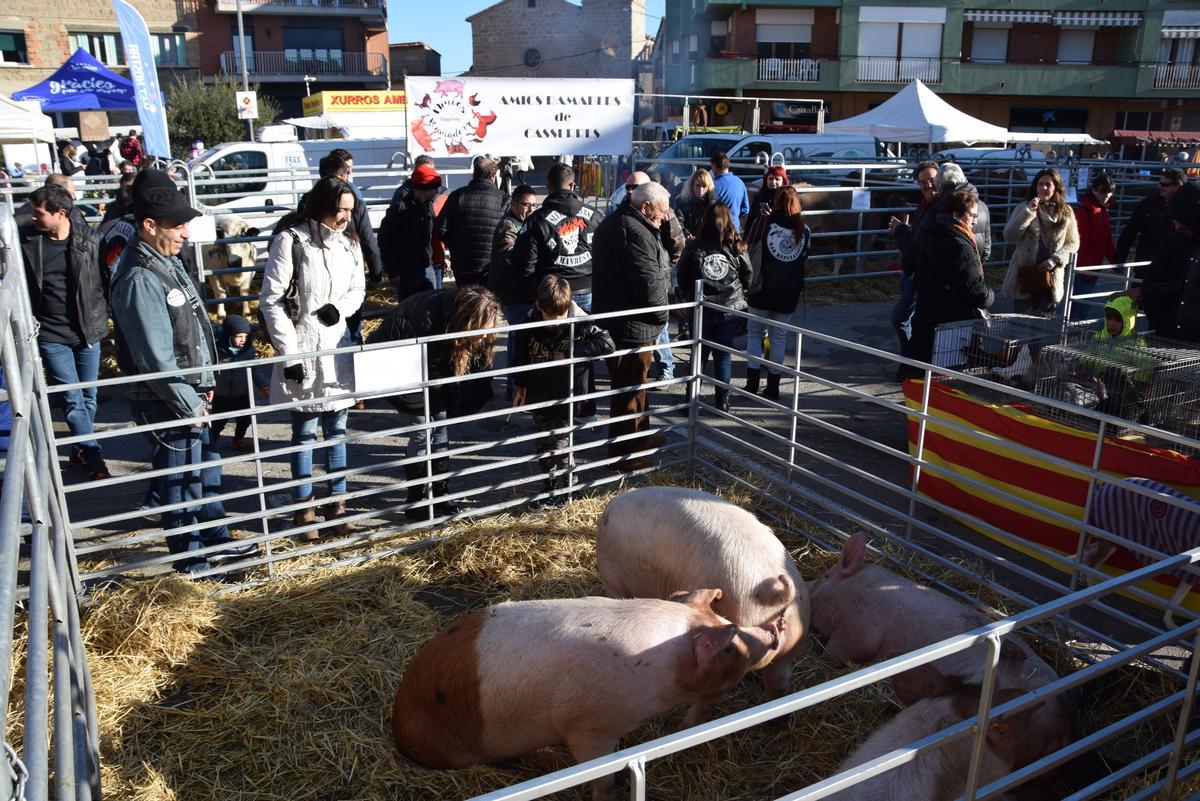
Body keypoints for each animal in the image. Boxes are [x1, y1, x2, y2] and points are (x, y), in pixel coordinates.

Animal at [393, 587, 782, 801]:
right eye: (731, 646)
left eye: (723, 619)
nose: (774, 628)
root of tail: (398, 723)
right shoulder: (589, 730)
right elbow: (602, 777)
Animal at [806, 534, 1070, 767]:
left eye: (825, 576)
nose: (806, 586)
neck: (854, 588)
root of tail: (1063, 724)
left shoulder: (857, 629)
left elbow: (835, 654)